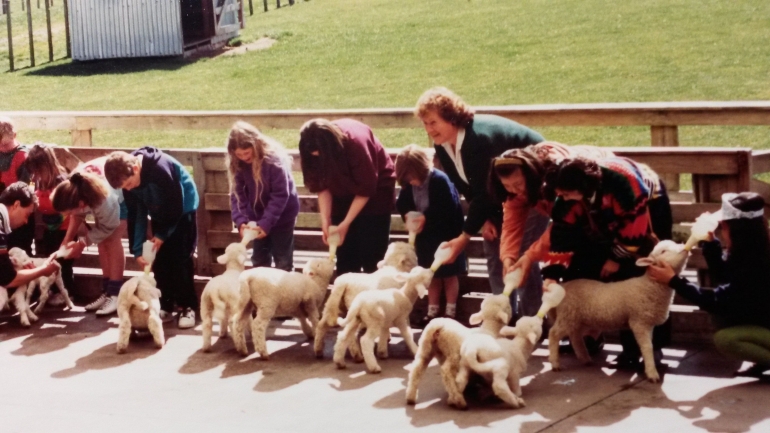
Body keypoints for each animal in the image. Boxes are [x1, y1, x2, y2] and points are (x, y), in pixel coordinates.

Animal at [544, 240, 688, 382]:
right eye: (663, 251)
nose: (684, 247)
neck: (649, 285)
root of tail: (563, 286)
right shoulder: (639, 322)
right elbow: (647, 347)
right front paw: (652, 373)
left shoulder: (647, 322)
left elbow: (650, 346)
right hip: (568, 314)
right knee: (554, 333)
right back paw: (555, 363)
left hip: (576, 318)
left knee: (575, 336)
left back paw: (585, 358)